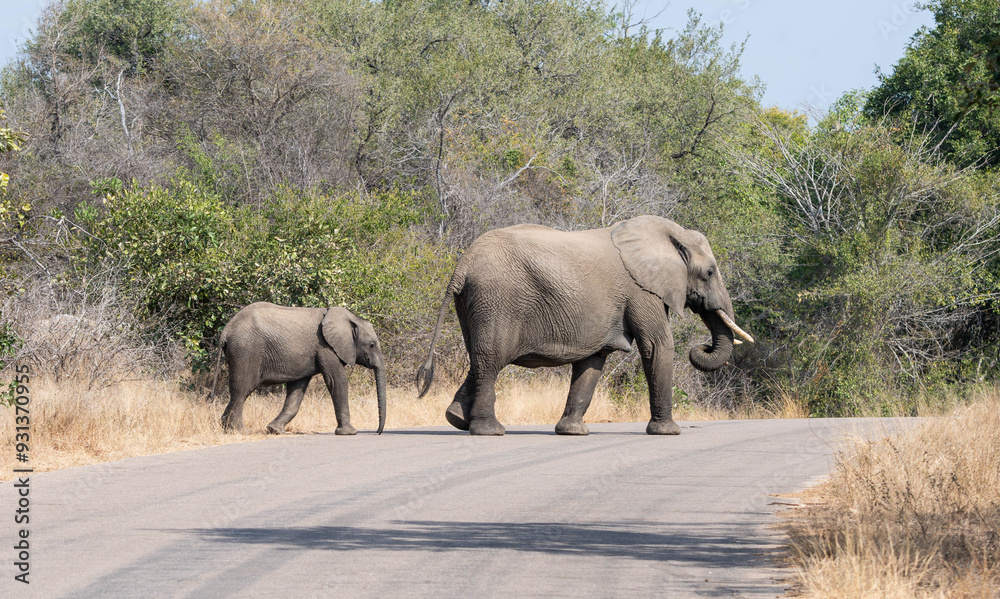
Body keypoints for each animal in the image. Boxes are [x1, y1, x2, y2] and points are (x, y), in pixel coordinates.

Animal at [214, 302, 386, 435]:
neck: (351, 318)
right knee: (241, 390)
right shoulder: (325, 347)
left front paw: (275, 430)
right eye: (372, 345)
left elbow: (297, 389)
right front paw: (349, 432)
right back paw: (238, 431)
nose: (378, 432)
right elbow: (336, 381)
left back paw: (226, 428)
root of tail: (226, 331)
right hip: (245, 351)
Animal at [415, 215, 753, 436]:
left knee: (479, 356)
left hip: (473, 303)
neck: (666, 235)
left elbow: (593, 361)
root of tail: (463, 263)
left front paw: (572, 432)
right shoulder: (641, 291)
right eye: (709, 272)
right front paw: (668, 432)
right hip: (497, 299)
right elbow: (657, 345)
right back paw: (490, 431)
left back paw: (456, 419)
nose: (703, 346)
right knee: (491, 358)